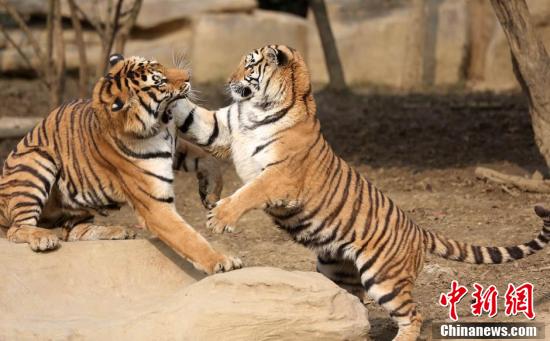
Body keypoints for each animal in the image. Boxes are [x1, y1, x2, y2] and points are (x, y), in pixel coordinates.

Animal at [0, 53, 242, 276]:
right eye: (159, 81)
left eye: (161, 65)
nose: (188, 76)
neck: (159, 126)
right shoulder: (154, 205)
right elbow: (188, 238)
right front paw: (221, 261)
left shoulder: (176, 147)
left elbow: (207, 159)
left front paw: (211, 193)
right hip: (38, 160)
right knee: (16, 230)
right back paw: (43, 238)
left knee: (74, 231)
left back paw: (117, 231)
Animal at [171, 44, 550, 338]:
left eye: (250, 65)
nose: (228, 82)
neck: (257, 108)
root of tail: (418, 229)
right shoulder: (222, 127)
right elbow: (190, 115)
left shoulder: (280, 177)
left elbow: (249, 193)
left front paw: (219, 217)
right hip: (336, 267)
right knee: (350, 307)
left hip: (384, 278)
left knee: (413, 315)